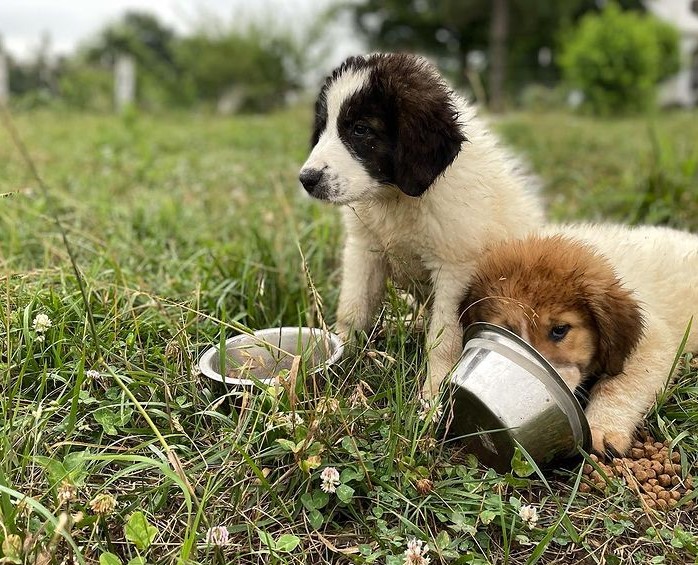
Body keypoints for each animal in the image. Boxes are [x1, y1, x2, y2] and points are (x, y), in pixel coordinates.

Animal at [296, 54, 540, 396]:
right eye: (322, 128)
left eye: (360, 129)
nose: (307, 179)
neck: (395, 197)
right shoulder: (364, 248)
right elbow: (352, 309)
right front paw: (340, 357)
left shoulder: (455, 269)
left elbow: (444, 338)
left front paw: (433, 393)